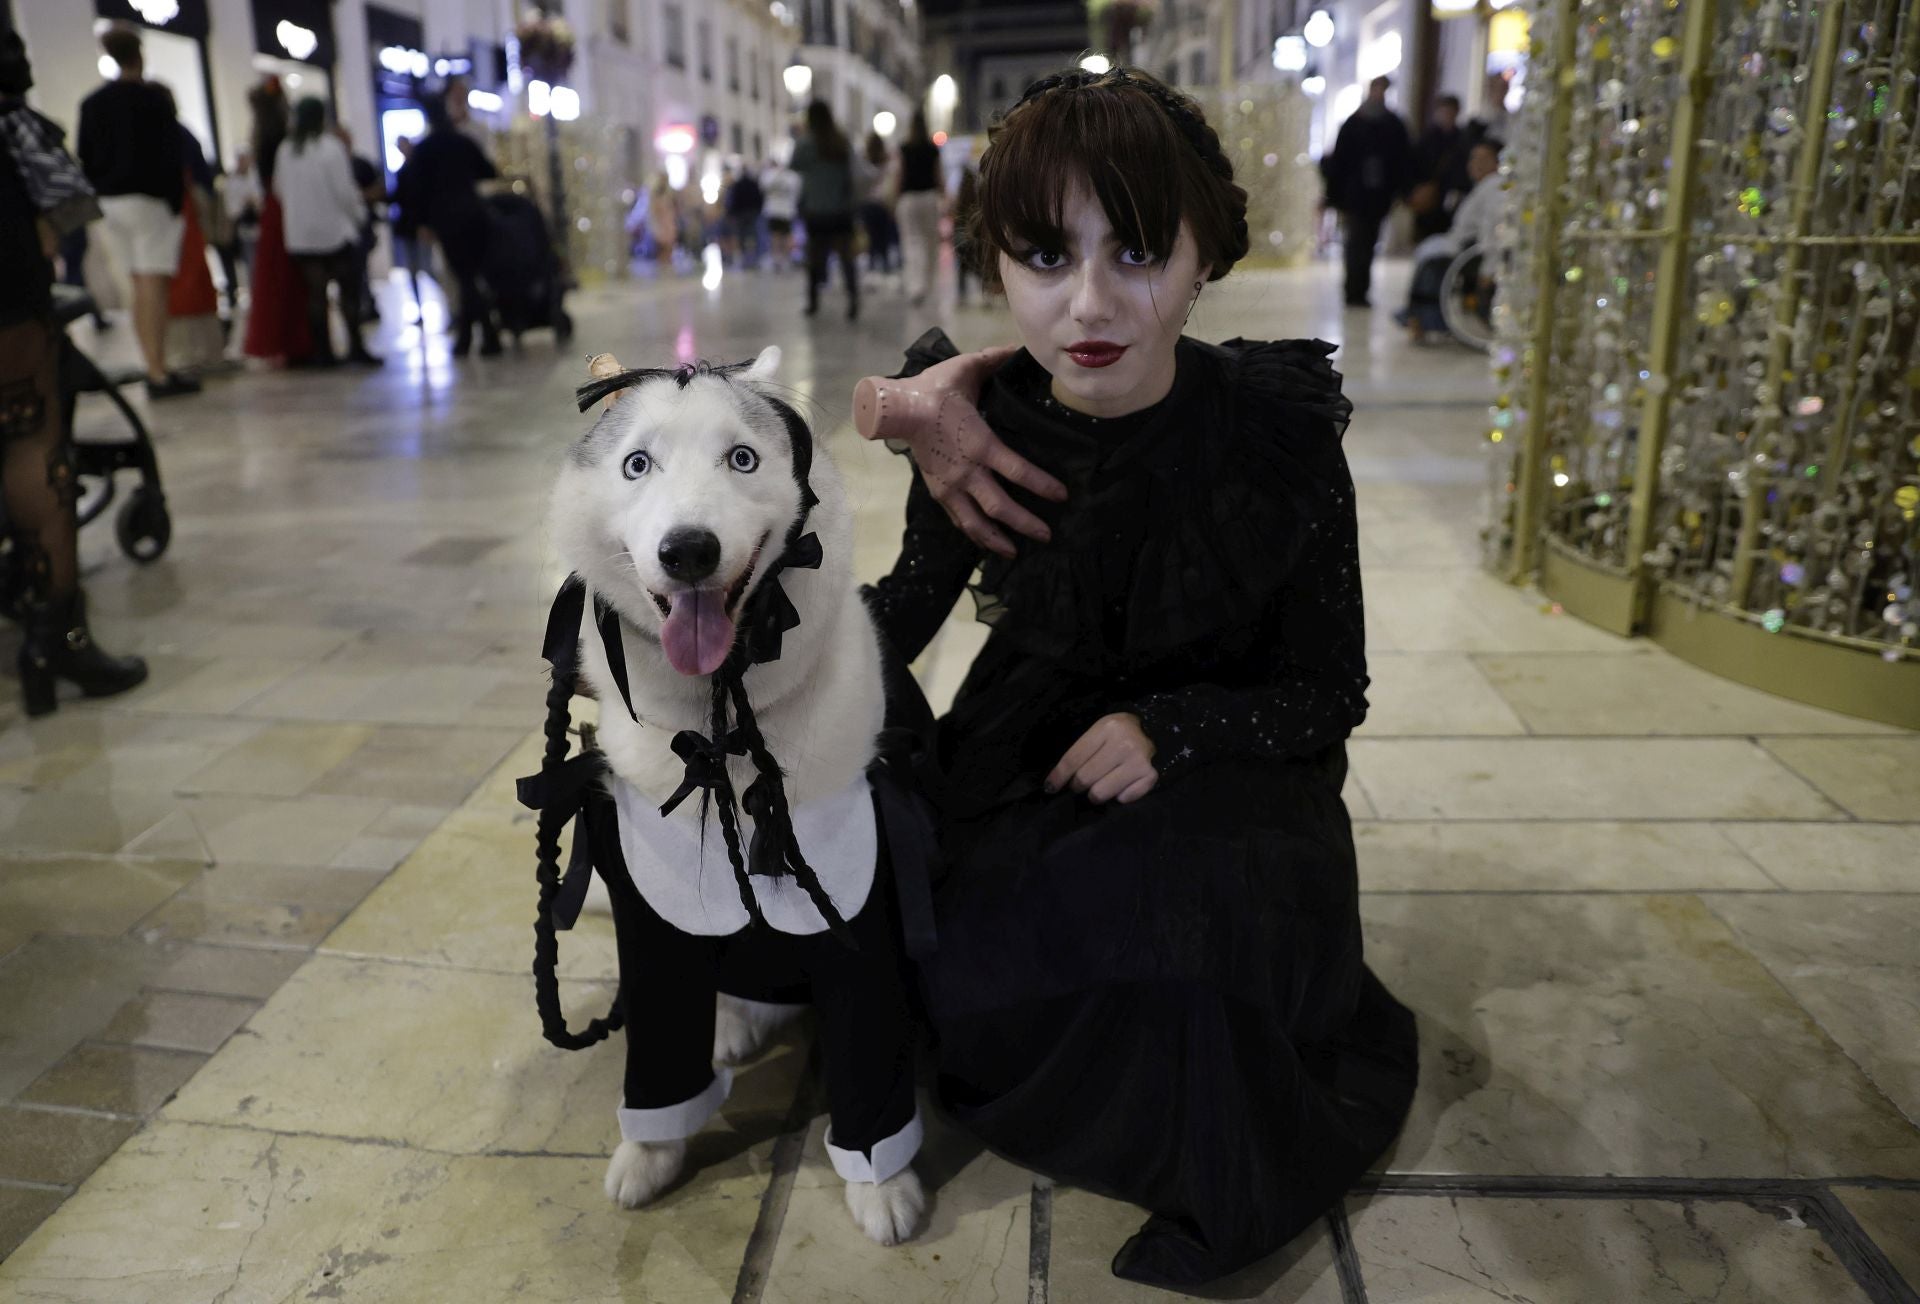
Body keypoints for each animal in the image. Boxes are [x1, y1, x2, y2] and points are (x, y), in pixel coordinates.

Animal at [549, 343, 929, 1244]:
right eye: (637, 464)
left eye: (743, 459)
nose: (688, 549)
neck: (720, 726)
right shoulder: (654, 920)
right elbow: (658, 1048)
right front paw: (649, 1154)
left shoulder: (855, 905)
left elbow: (870, 1050)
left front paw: (883, 1187)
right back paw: (729, 1025)